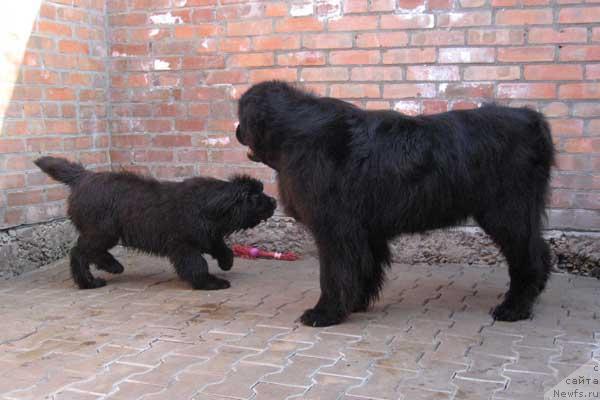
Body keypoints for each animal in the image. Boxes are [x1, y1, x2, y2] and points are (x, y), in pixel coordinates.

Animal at [35, 156, 274, 290]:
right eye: (256, 197)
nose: (274, 201)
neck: (207, 205)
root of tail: (82, 177)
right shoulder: (183, 245)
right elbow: (197, 265)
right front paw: (209, 283)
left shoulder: (206, 234)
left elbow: (221, 247)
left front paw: (226, 262)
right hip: (102, 231)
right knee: (80, 252)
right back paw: (93, 279)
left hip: (104, 232)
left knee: (89, 252)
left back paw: (110, 267)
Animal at [237, 79, 556, 326]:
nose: (237, 129)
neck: (295, 133)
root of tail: (532, 120)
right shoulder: (365, 230)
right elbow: (364, 268)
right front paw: (355, 303)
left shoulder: (335, 228)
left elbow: (334, 272)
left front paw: (324, 313)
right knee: (539, 250)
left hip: (507, 212)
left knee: (528, 257)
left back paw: (514, 307)